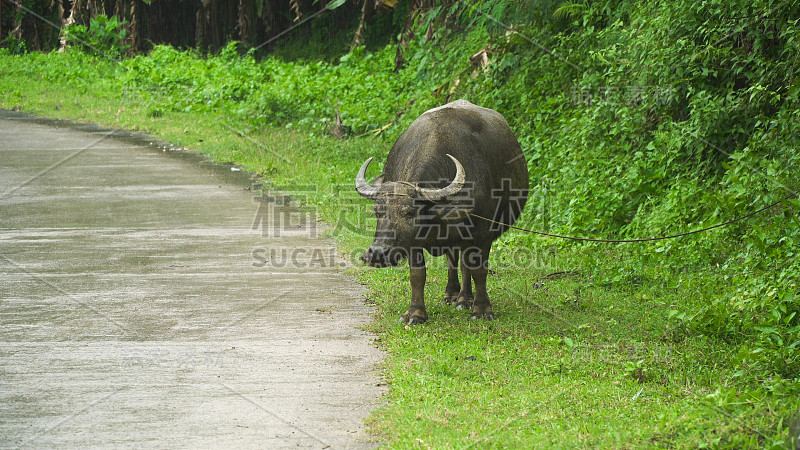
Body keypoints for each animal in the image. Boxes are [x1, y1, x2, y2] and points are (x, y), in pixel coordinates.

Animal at [354, 99, 528, 324]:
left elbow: (479, 271)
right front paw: (415, 313)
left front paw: (482, 310)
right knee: (453, 259)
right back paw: (452, 294)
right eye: (378, 211)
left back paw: (464, 299)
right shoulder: (413, 242)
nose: (377, 253)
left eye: (410, 212)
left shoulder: (482, 234)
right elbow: (417, 275)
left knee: (464, 264)